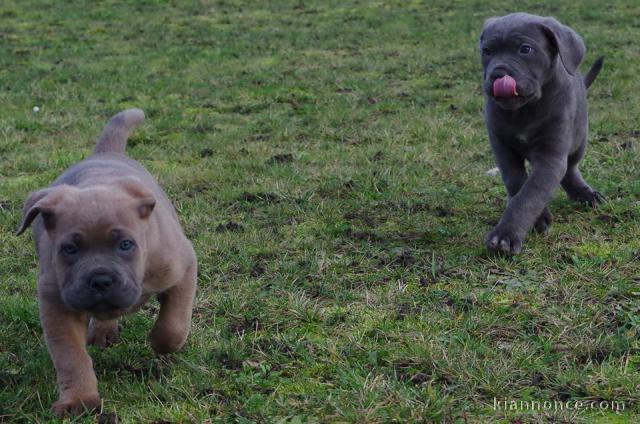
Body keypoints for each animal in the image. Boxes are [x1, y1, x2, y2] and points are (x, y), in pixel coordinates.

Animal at [18, 109, 198, 418]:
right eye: (69, 249)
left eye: (125, 245)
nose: (100, 280)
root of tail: (105, 152)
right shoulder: (57, 306)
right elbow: (71, 358)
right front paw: (79, 400)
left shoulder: (183, 267)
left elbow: (173, 324)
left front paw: (160, 343)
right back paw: (103, 332)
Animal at [480, 13, 604, 255]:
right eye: (487, 51)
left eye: (525, 49)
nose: (498, 74)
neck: (525, 110)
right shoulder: (502, 146)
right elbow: (516, 182)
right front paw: (538, 218)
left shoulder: (551, 156)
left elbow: (531, 193)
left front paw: (506, 235)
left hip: (580, 137)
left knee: (571, 169)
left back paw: (585, 194)